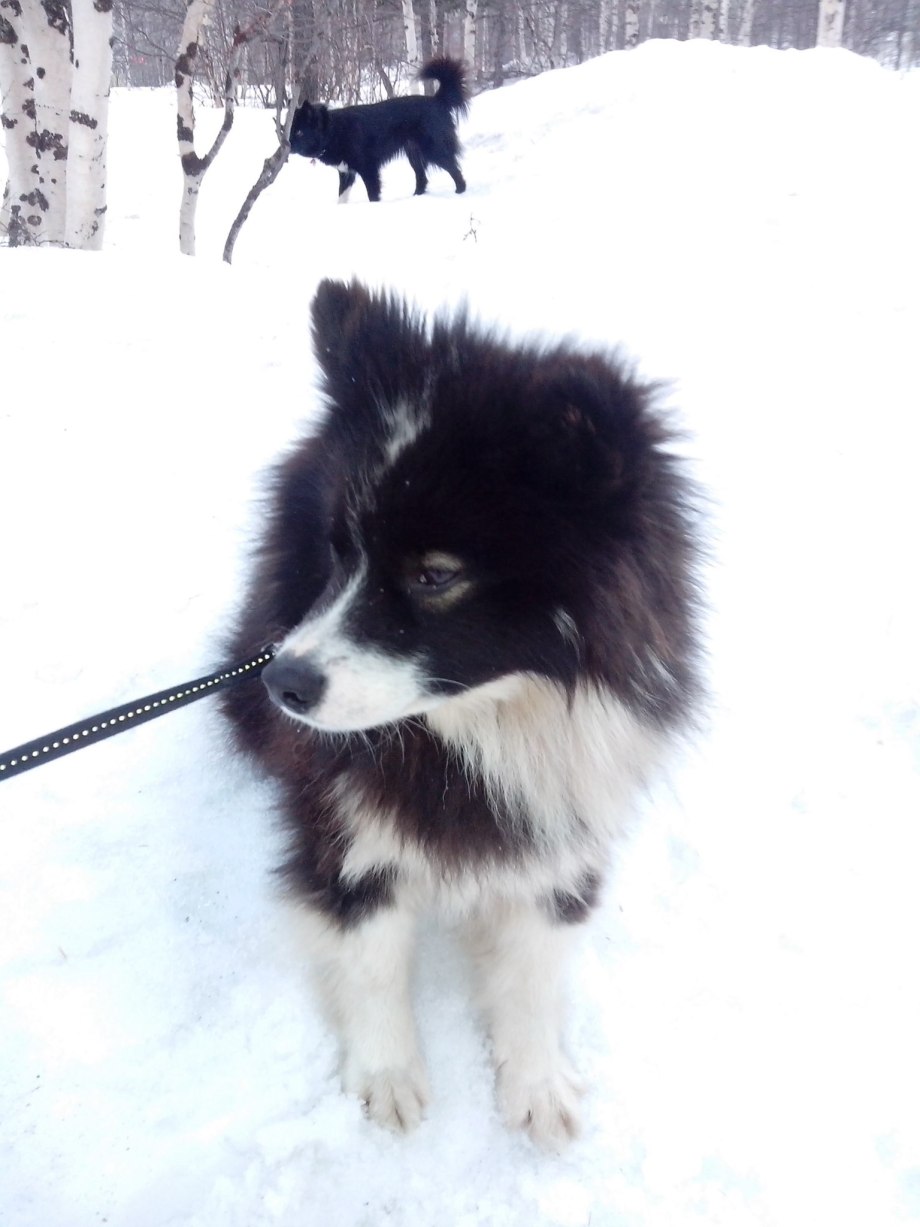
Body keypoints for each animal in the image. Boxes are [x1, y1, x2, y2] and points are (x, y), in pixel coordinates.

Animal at [223, 280, 702, 1148]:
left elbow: (535, 962)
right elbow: (371, 948)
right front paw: (386, 1075)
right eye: (341, 551)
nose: (286, 683)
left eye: (436, 575)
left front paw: (536, 1080)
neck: (482, 723)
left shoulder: (568, 811)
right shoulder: (342, 817)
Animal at [288, 58, 469, 203]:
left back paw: (460, 192)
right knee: (422, 178)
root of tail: (438, 100)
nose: (287, 145)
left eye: (299, 132)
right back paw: (416, 197)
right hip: (413, 153)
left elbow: (372, 194)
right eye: (290, 131)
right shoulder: (346, 173)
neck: (333, 131)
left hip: (433, 149)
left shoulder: (369, 169)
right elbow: (341, 198)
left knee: (455, 170)